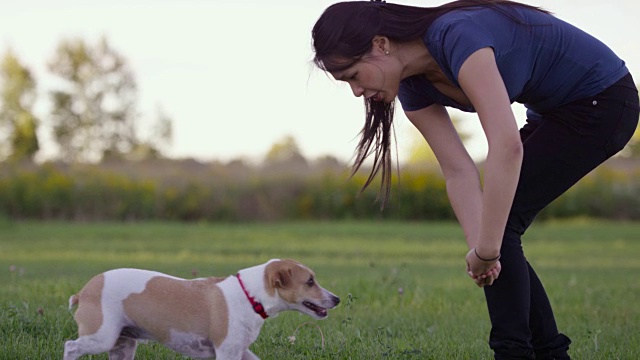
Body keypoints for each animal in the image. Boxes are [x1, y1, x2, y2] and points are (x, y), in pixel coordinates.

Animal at [63, 258, 340, 360]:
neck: (249, 295)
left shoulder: (240, 351)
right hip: (101, 336)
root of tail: (84, 291)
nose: (336, 299)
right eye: (310, 282)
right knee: (71, 346)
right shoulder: (227, 352)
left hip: (123, 345)